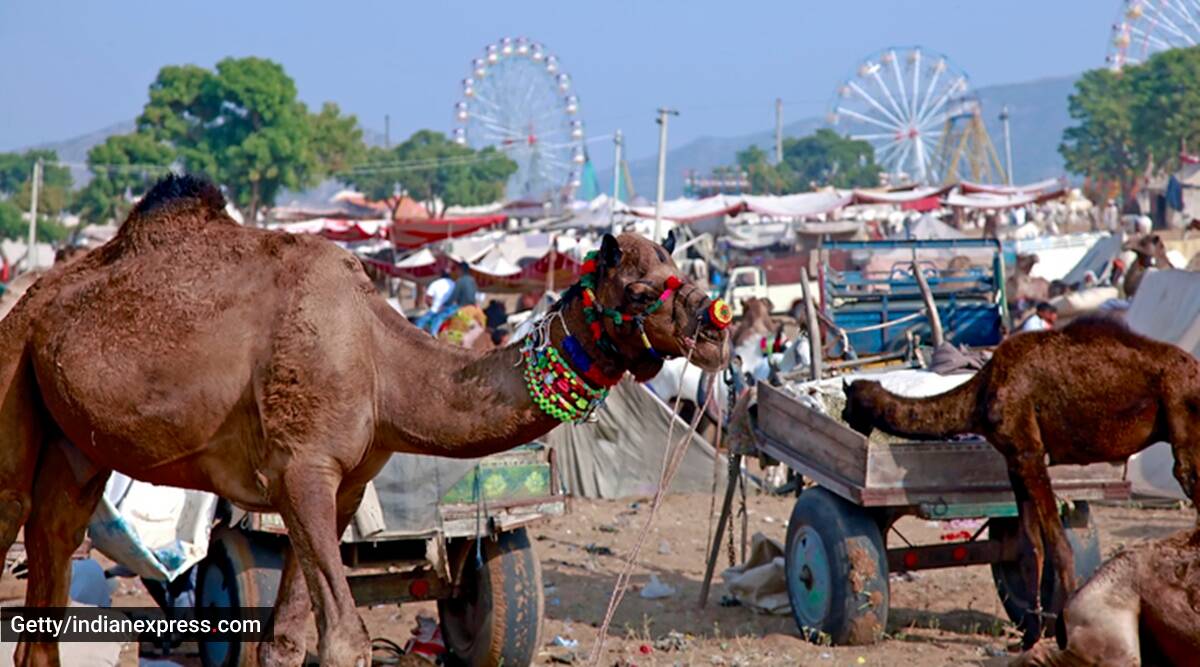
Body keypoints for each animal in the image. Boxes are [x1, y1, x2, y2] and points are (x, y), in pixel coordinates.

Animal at [840, 316, 1200, 647]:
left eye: (848, 404)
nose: (845, 421)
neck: (980, 396)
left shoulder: (1029, 452)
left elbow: (1059, 545)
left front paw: (1063, 634)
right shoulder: (1013, 461)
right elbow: (1030, 546)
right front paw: (1030, 635)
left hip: (1182, 424)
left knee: (1186, 480)